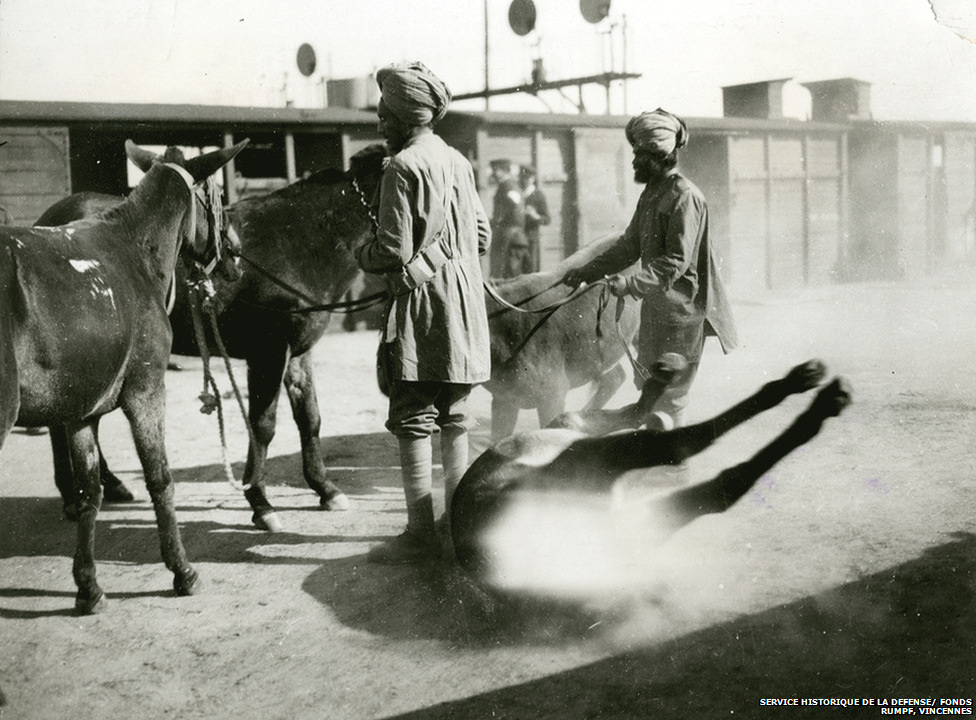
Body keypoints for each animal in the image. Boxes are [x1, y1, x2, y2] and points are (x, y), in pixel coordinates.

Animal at [0, 139, 244, 612]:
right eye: (218, 196)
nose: (236, 254)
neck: (132, 248)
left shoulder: (81, 412)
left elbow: (88, 493)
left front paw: (88, 585)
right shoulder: (146, 393)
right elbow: (160, 480)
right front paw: (182, 570)